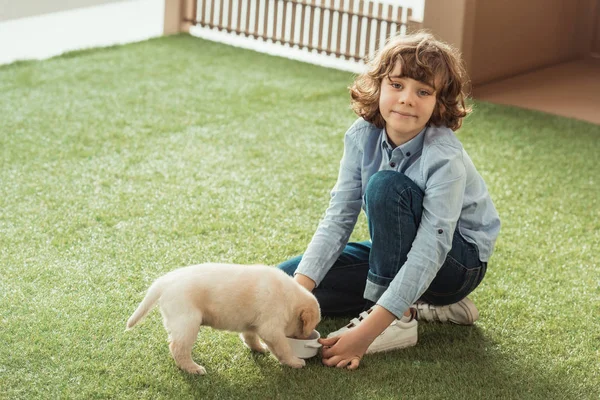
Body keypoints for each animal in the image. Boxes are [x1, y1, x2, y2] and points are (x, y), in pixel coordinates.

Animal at [125, 264, 322, 374]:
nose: (307, 336)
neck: (290, 299)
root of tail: (163, 281)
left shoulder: (252, 323)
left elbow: (250, 336)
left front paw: (259, 348)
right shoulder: (271, 327)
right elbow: (283, 348)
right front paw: (294, 361)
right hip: (188, 321)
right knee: (177, 348)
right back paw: (193, 368)